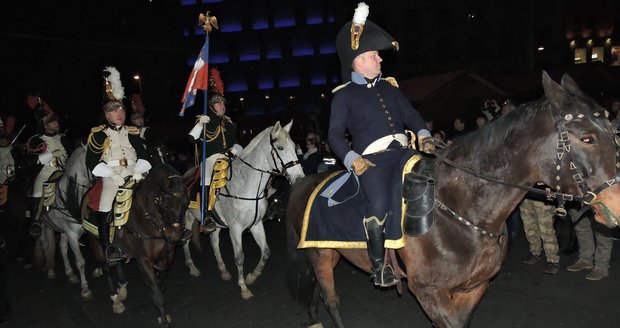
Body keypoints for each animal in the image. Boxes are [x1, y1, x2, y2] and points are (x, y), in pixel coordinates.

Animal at [36, 145, 96, 302]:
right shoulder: (72, 234)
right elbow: (80, 261)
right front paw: (85, 289)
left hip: (62, 231)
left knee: (62, 248)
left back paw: (70, 274)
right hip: (45, 226)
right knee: (46, 244)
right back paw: (50, 270)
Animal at [88, 164, 188, 326]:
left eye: (187, 201)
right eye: (165, 203)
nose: (174, 236)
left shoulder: (166, 256)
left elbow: (161, 285)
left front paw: (163, 315)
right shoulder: (143, 260)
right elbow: (157, 293)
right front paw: (163, 320)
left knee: (117, 262)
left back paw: (122, 288)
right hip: (97, 246)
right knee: (107, 269)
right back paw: (116, 301)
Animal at [182, 121, 306, 300]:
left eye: (294, 146)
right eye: (280, 148)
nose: (299, 178)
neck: (246, 186)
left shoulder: (256, 225)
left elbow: (266, 252)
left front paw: (252, 277)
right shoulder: (235, 229)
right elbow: (239, 257)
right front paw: (243, 288)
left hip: (216, 224)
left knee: (214, 242)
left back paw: (223, 270)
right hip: (188, 218)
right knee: (185, 241)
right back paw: (192, 267)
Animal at [284, 72, 620, 328]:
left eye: (614, 132)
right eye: (587, 138)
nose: (616, 206)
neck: (463, 210)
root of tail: (304, 183)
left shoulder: (473, 288)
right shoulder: (430, 293)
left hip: (331, 253)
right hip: (321, 255)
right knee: (330, 299)